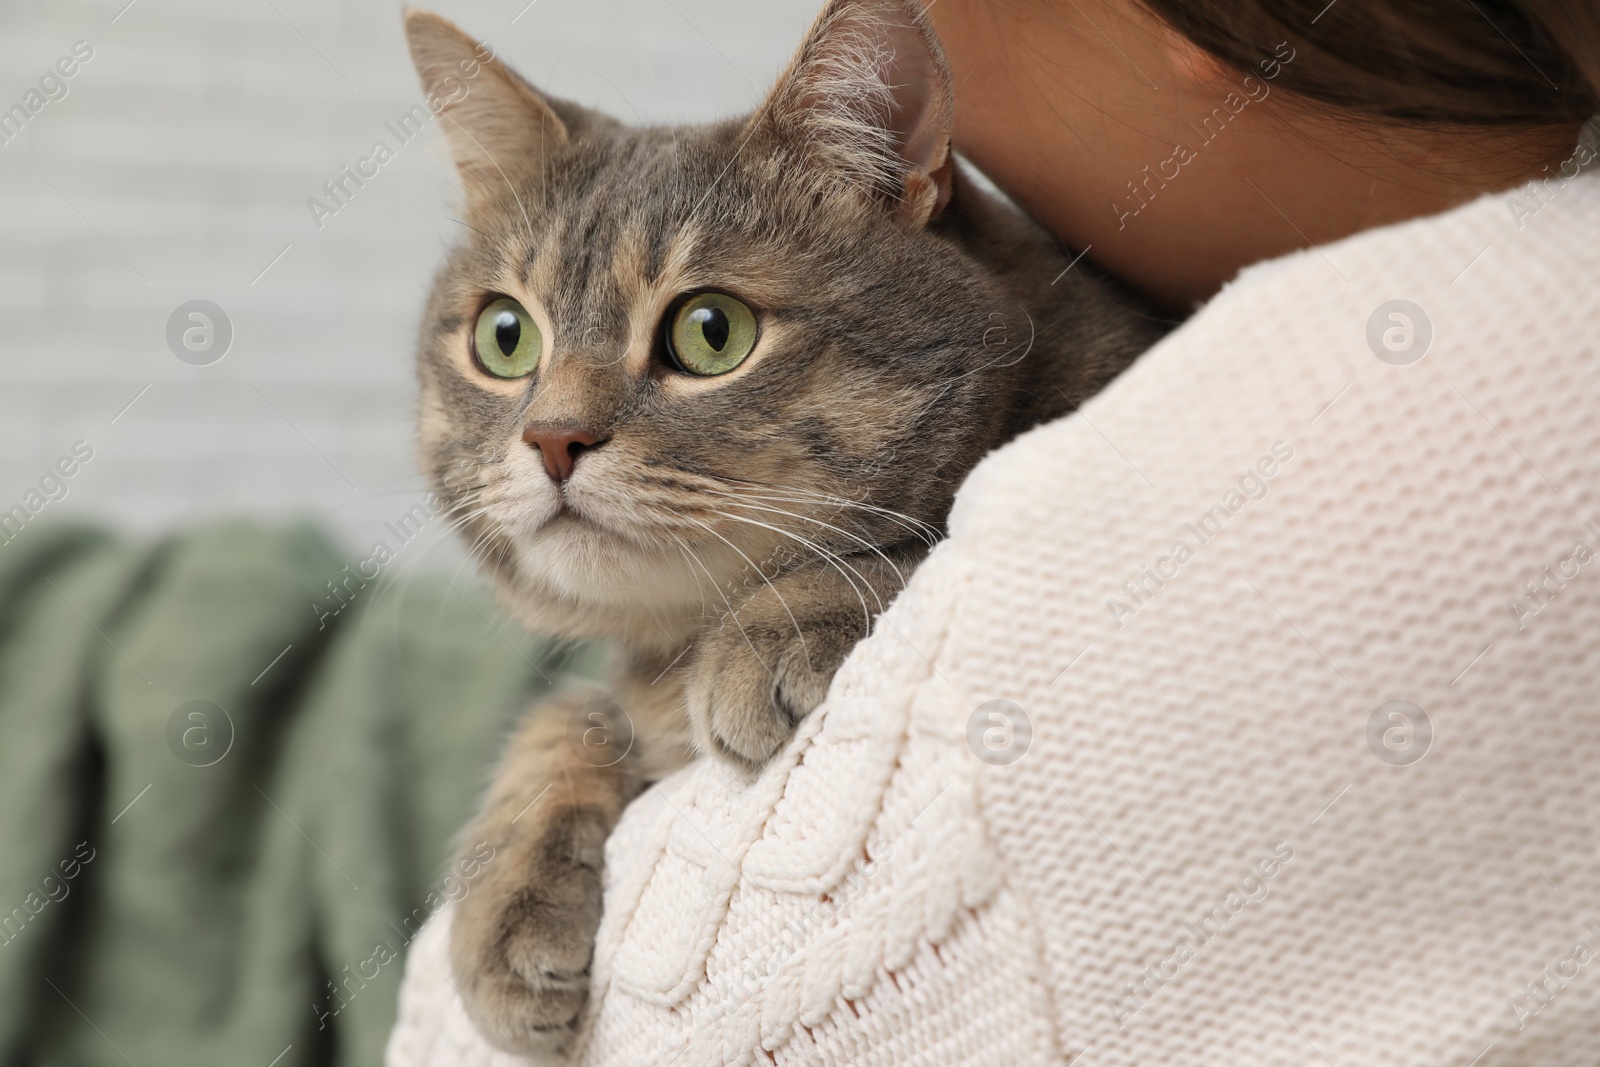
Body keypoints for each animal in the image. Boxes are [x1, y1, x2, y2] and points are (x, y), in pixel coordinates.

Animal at [403, 0, 1164, 1049]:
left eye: (711, 331)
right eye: (504, 336)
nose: (552, 435)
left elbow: (924, 539)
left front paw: (775, 624)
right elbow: (569, 708)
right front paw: (504, 891)